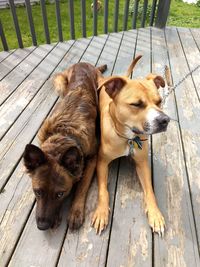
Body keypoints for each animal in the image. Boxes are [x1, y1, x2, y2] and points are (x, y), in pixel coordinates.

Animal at [22, 62, 107, 232]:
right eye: (37, 192)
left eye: (60, 194)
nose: (42, 226)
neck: (64, 134)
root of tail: (84, 63)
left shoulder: (92, 158)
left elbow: (81, 188)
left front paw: (75, 212)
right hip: (60, 82)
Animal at [91, 56, 170, 237]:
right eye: (136, 104)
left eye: (159, 101)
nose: (165, 120)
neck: (128, 138)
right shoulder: (102, 163)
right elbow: (102, 190)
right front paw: (101, 212)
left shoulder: (142, 164)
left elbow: (150, 191)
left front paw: (155, 214)